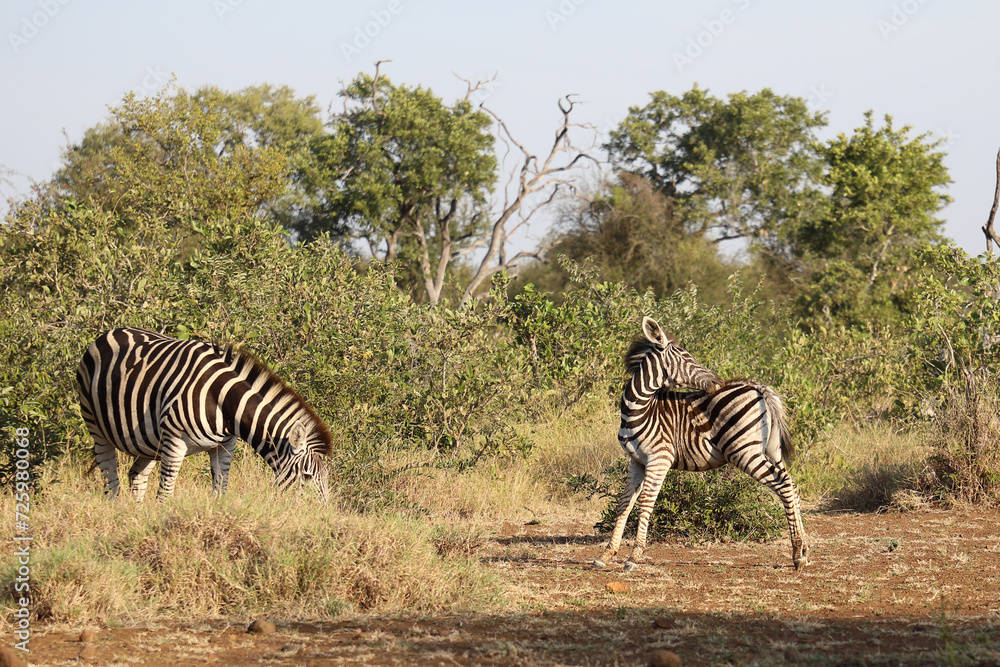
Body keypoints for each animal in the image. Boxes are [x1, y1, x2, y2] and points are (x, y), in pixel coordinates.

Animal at [76, 327, 333, 501]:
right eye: (307, 477)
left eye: (326, 478)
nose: (322, 515)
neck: (224, 402)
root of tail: (109, 332)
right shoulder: (174, 442)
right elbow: (164, 495)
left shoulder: (224, 447)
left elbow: (220, 491)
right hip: (96, 425)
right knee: (110, 479)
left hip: (147, 442)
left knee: (136, 476)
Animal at [594, 317, 809, 572]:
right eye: (687, 358)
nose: (719, 382)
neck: (639, 409)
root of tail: (759, 388)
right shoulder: (636, 461)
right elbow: (625, 503)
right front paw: (607, 554)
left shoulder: (659, 459)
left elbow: (646, 503)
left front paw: (633, 557)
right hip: (771, 450)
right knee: (791, 486)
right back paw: (804, 551)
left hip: (744, 452)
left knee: (784, 486)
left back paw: (797, 554)